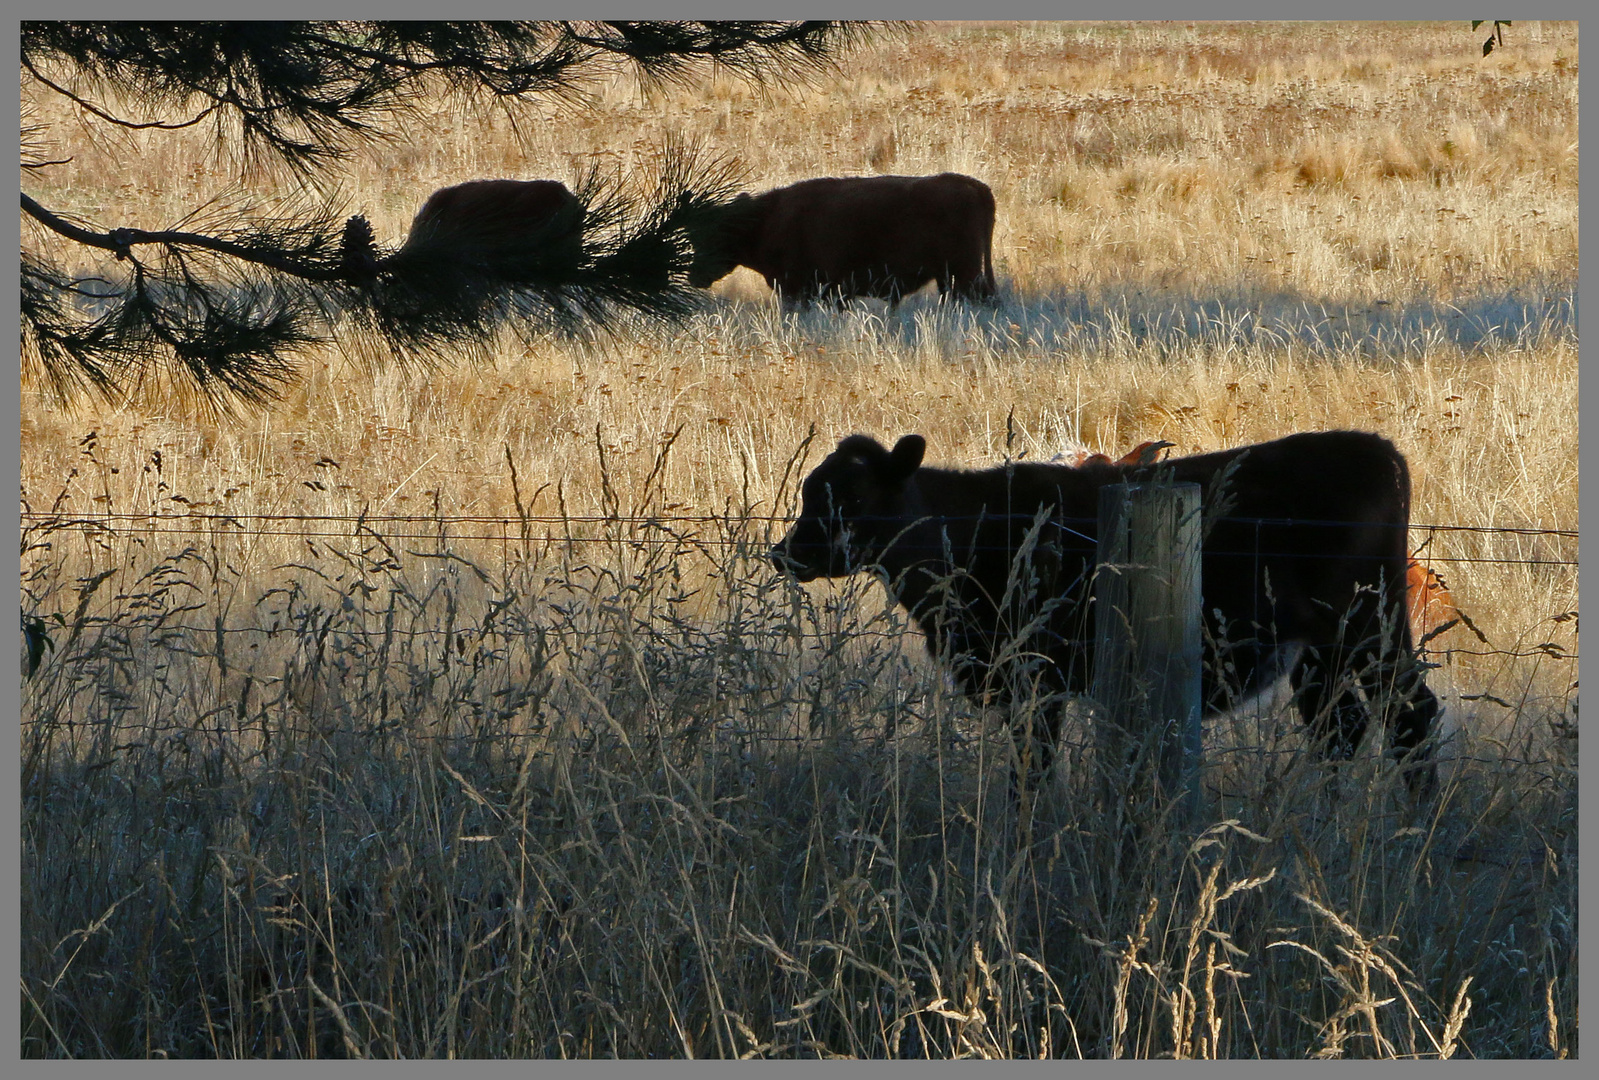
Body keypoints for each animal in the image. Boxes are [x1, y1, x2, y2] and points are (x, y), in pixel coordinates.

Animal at [687, 173, 997, 308]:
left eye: (713, 235)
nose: (694, 276)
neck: (766, 217)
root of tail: (975, 186)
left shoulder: (799, 290)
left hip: (965, 275)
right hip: (949, 279)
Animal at [767, 432, 1445, 803]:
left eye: (853, 496)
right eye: (807, 492)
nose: (786, 552)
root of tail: (1380, 449)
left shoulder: (1036, 678)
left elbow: (1031, 771)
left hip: (1372, 628)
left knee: (1410, 716)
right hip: (1320, 651)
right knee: (1342, 729)